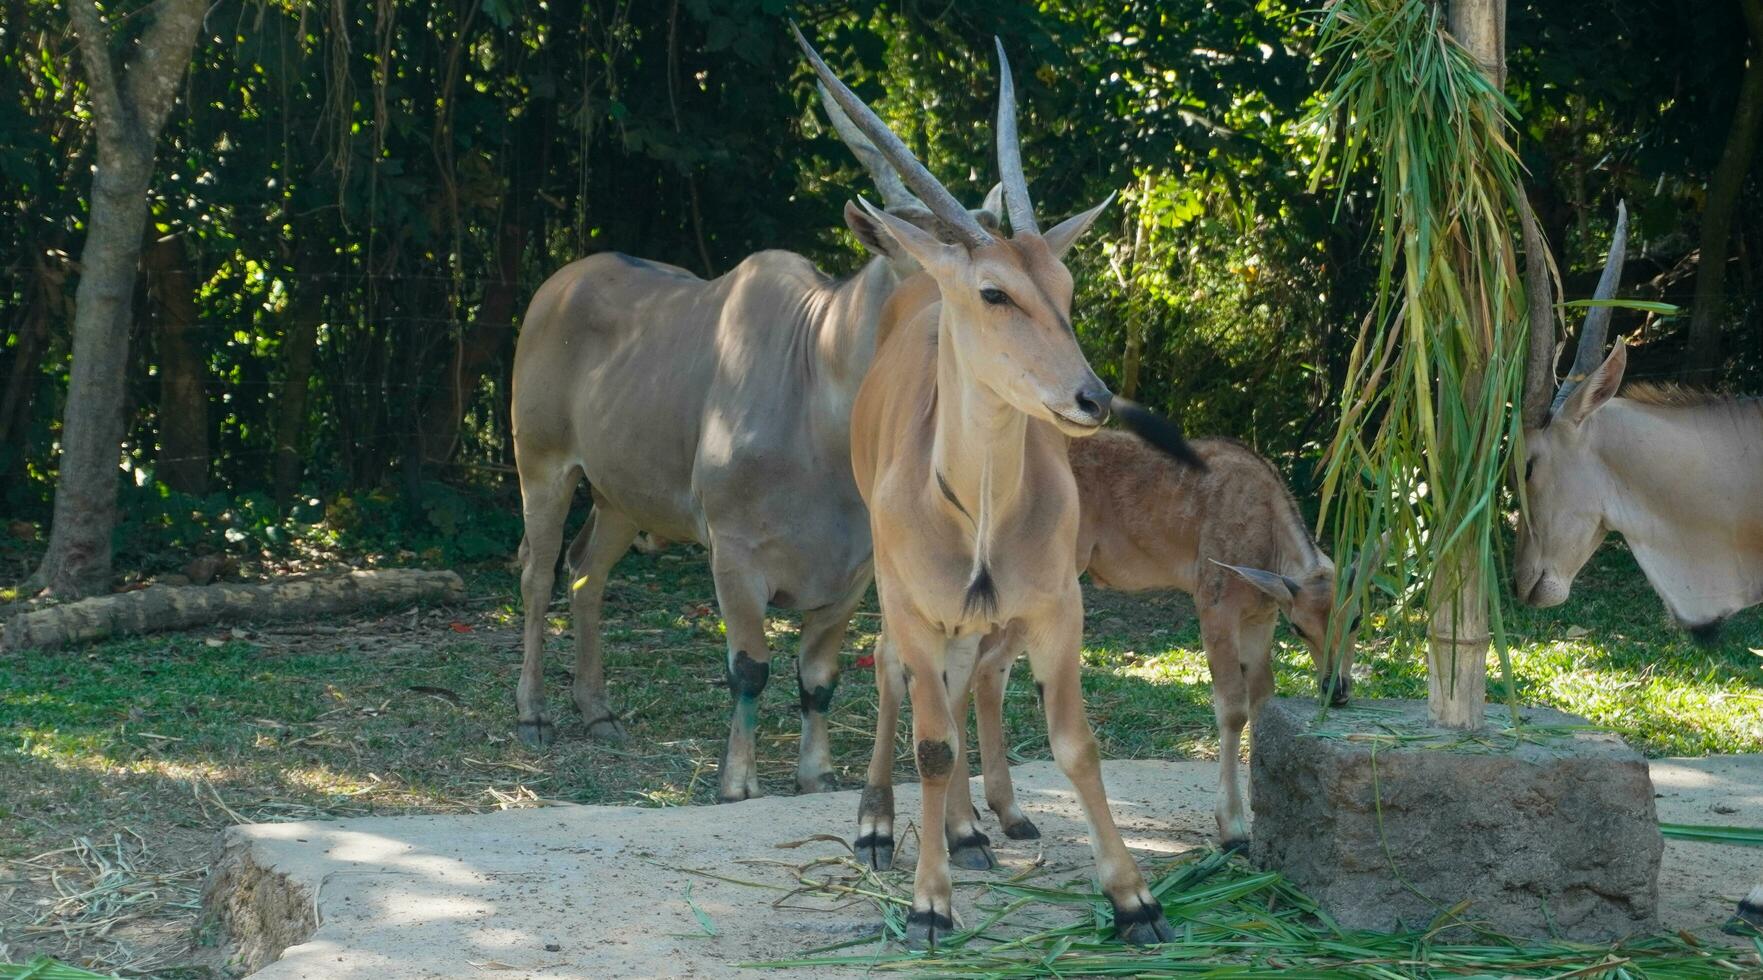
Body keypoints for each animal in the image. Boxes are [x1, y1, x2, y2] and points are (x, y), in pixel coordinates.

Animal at [514, 82, 1008, 803]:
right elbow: (749, 668)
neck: (816, 376)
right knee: (537, 571)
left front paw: (816, 773)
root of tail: (556, 288)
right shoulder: (734, 556)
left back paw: (597, 711)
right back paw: (533, 713)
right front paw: (737, 780)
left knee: (586, 572)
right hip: (542, 467)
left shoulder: (852, 574)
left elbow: (819, 679)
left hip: (621, 498)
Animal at [800, 26, 1198, 944]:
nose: (1090, 398)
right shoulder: (914, 603)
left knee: (967, 683)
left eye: (1066, 288)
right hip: (893, 592)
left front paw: (1134, 900)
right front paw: (927, 904)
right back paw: (880, 825)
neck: (974, 515)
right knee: (899, 679)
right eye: (993, 292)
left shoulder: (1057, 607)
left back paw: (976, 827)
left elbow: (1074, 742)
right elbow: (930, 740)